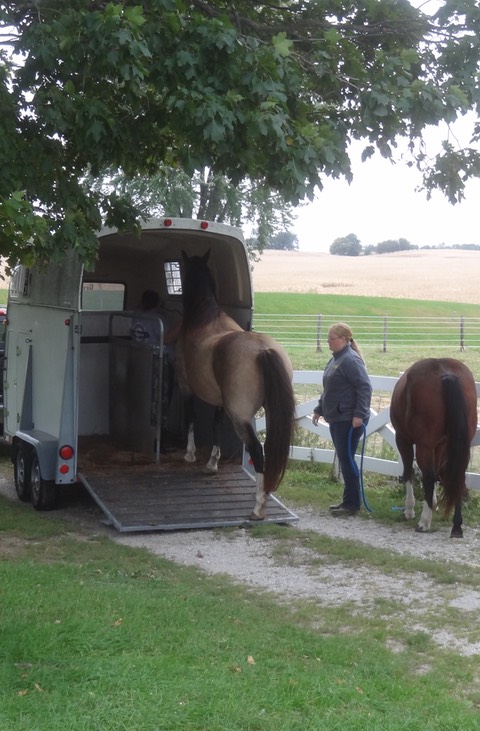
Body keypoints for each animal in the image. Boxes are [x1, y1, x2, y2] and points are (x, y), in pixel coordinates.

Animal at [174, 250, 296, 520]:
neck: (204, 317)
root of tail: (263, 350)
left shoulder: (186, 388)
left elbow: (191, 418)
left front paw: (190, 454)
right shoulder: (221, 402)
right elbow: (215, 424)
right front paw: (212, 463)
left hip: (240, 416)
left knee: (257, 451)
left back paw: (258, 507)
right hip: (266, 411)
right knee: (267, 449)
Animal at [390, 357, 477, 538]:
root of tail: (446, 373)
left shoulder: (403, 439)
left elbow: (409, 472)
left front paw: (409, 510)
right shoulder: (439, 445)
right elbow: (437, 473)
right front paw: (433, 503)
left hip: (422, 445)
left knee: (428, 476)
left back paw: (424, 522)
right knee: (457, 477)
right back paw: (456, 526)